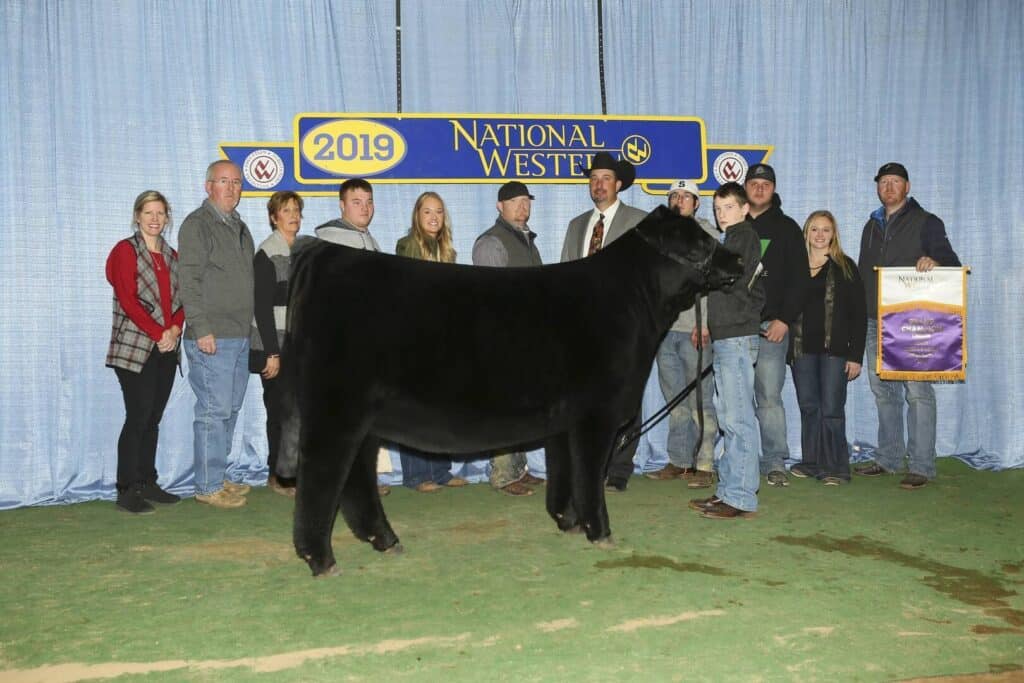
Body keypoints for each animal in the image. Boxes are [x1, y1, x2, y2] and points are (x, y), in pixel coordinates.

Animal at [280, 205, 743, 576]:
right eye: (701, 239)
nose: (739, 257)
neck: (632, 302)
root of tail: (324, 254)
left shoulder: (565, 419)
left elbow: (564, 473)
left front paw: (567, 521)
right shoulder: (597, 414)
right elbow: (589, 476)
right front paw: (600, 531)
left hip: (362, 417)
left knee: (355, 477)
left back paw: (385, 540)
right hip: (335, 411)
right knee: (321, 475)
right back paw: (321, 559)